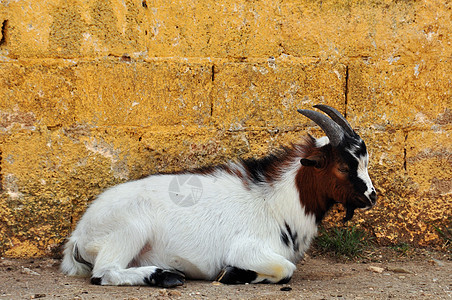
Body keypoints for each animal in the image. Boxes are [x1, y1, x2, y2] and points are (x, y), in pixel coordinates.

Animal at [61, 104, 378, 288]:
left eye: (365, 162)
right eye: (344, 166)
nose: (373, 197)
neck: (274, 201)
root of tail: (79, 234)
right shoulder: (247, 249)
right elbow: (286, 269)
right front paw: (233, 275)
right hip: (129, 230)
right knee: (104, 273)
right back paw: (164, 276)